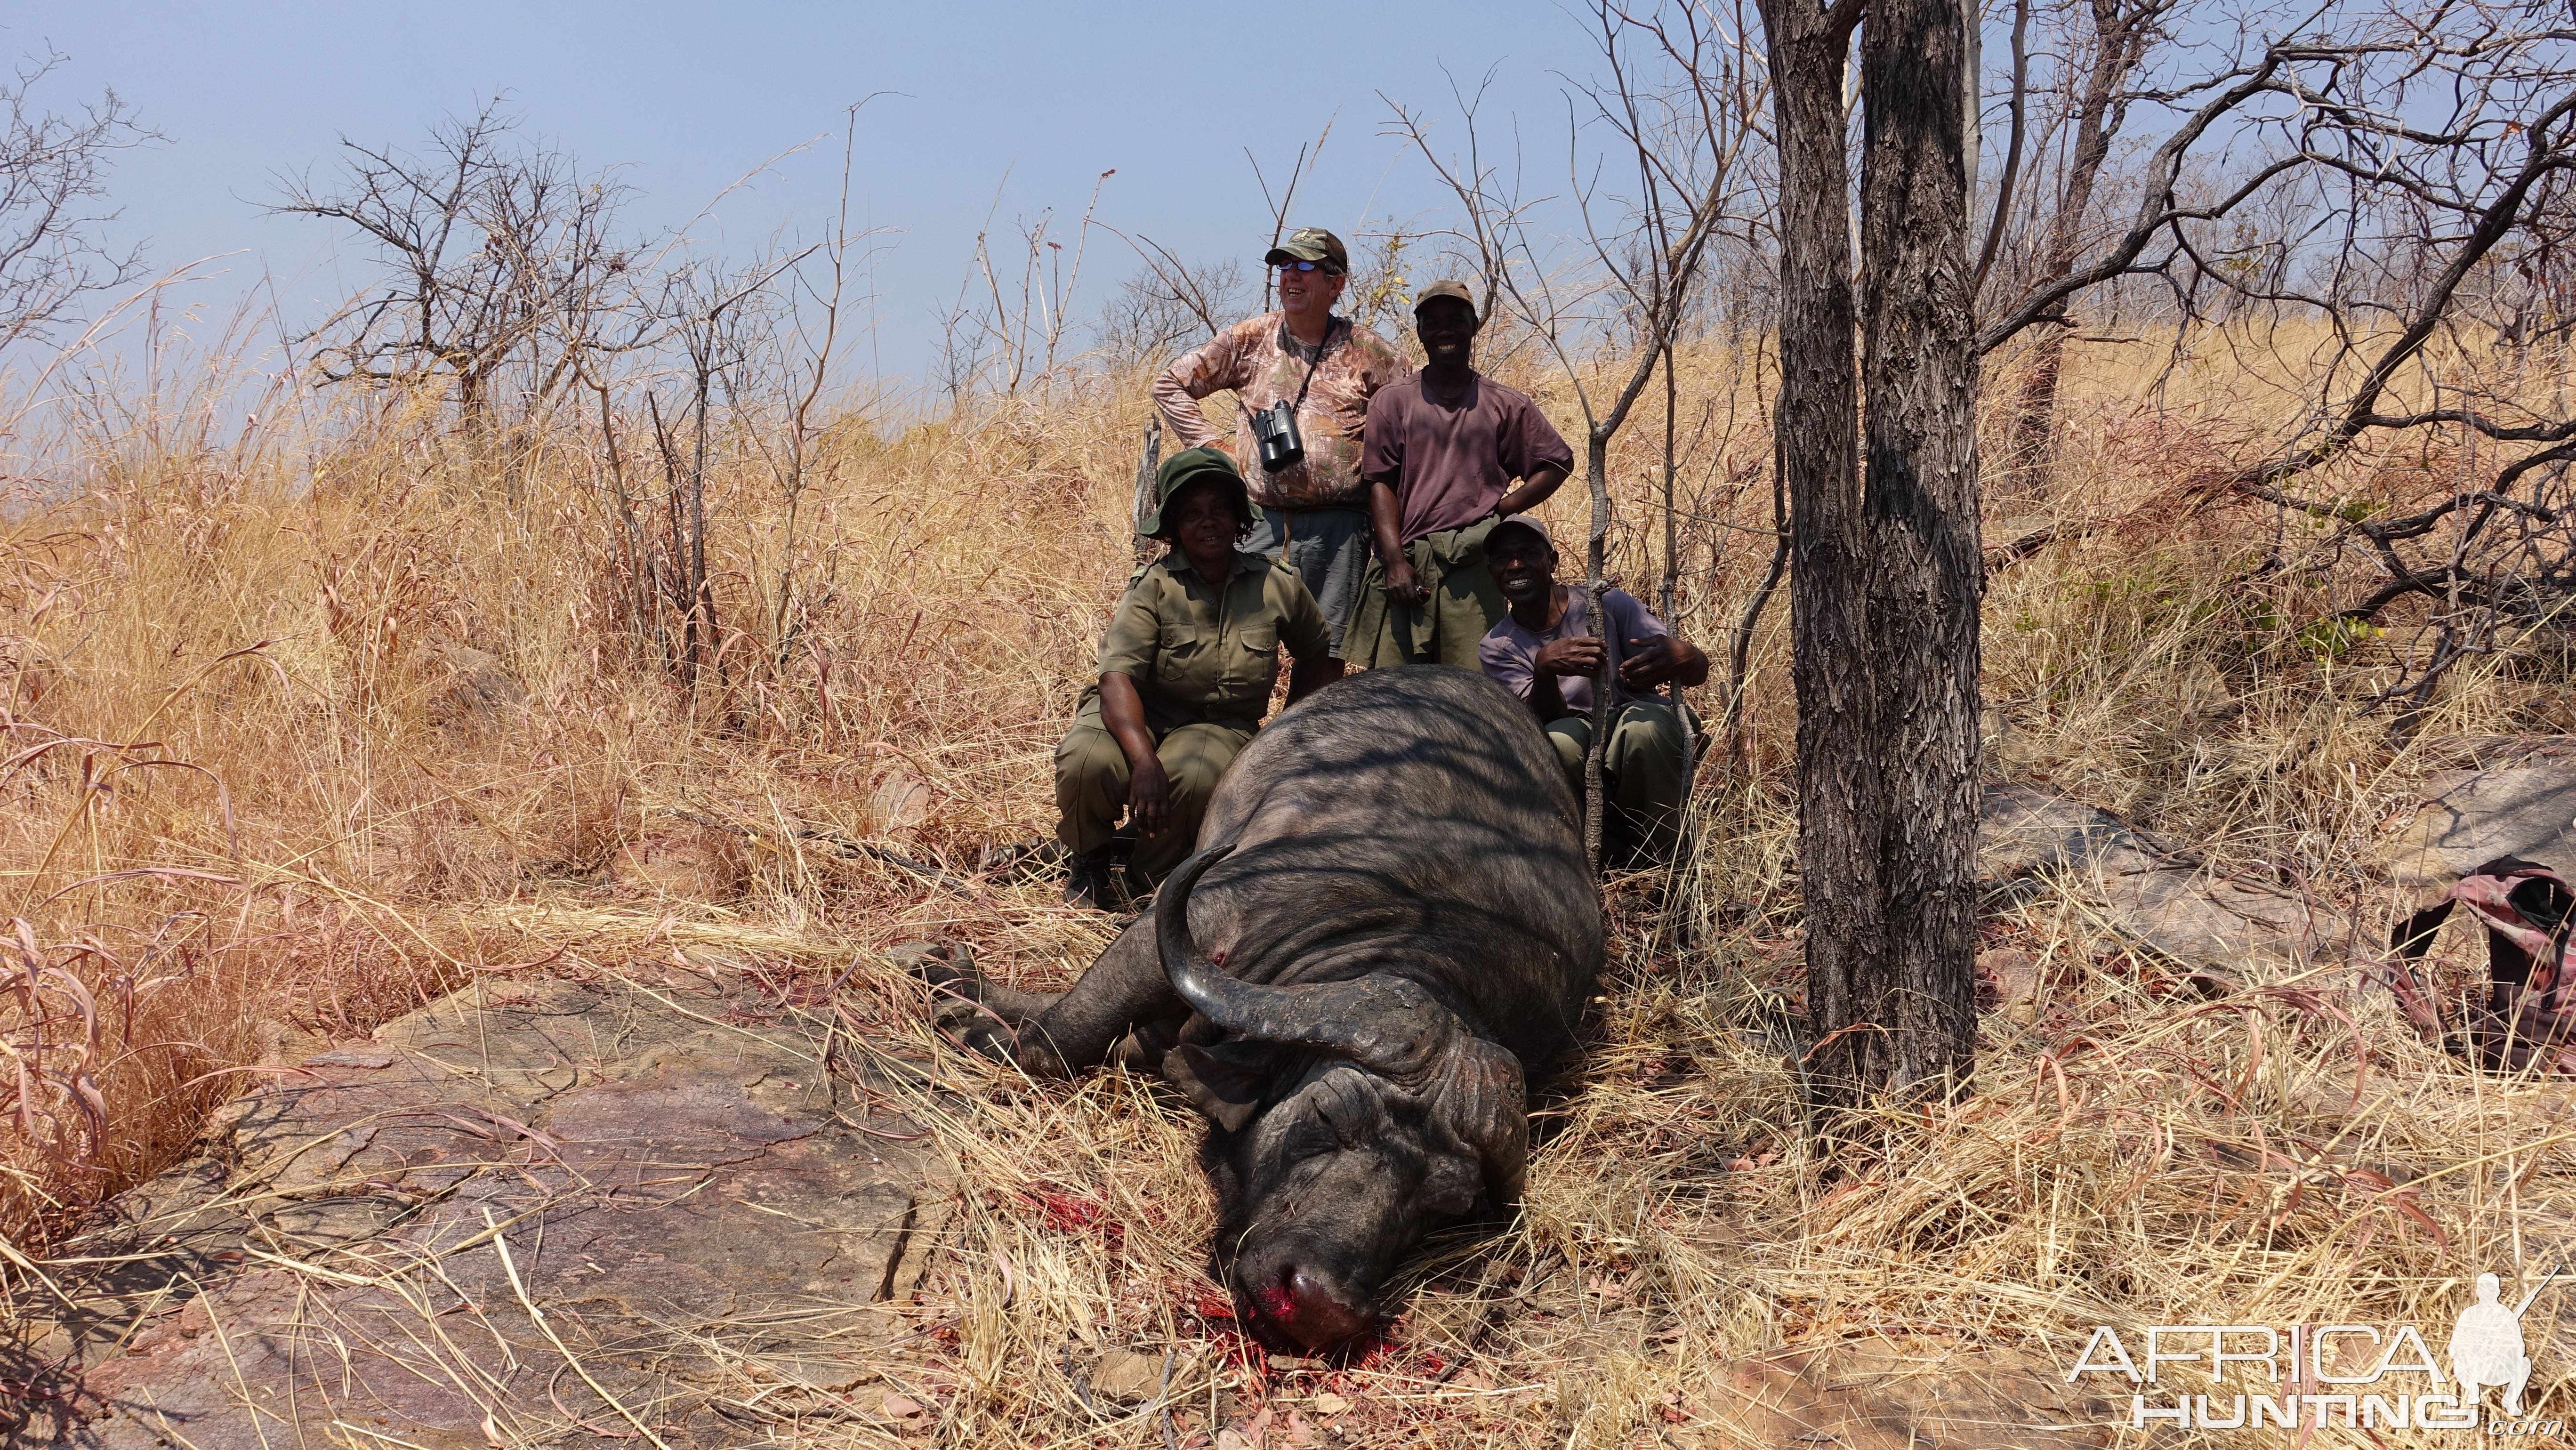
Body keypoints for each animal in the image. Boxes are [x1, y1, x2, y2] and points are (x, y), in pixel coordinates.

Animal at [927, 664, 1607, 1349]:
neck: (1423, 923)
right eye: (1330, 1112)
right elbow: (1062, 1037)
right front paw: (965, 1001)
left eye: (1445, 1204)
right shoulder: (1196, 918)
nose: (1320, 1303)